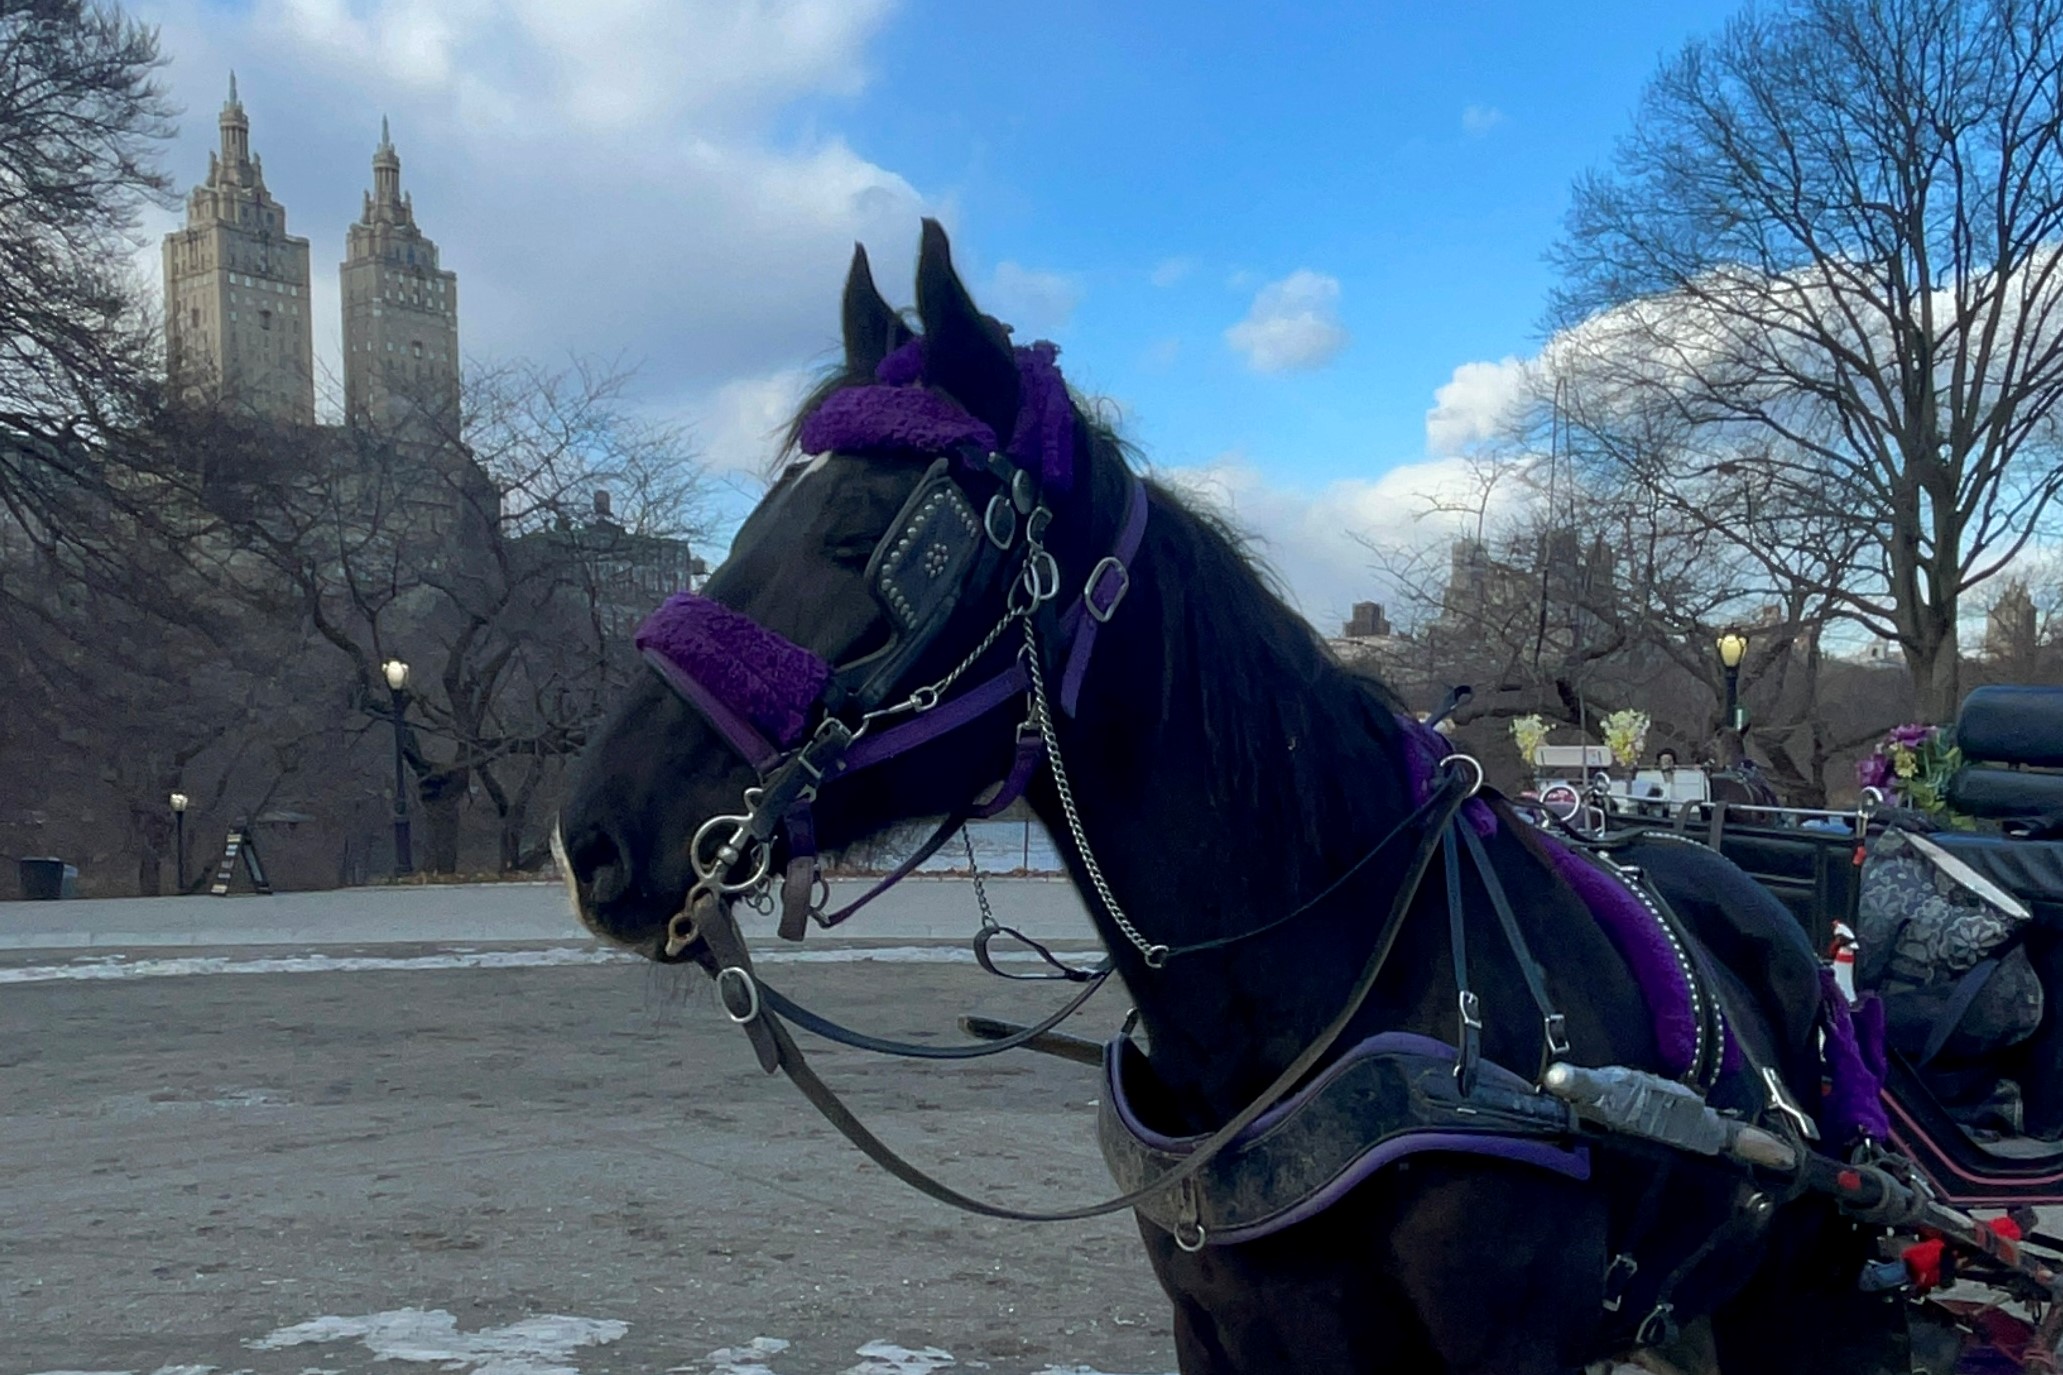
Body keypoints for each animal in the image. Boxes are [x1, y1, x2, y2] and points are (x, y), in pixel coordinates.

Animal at [557, 220, 1906, 1368]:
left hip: (1808, 1302)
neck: (1312, 979)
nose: (589, 838)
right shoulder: (1220, 1331)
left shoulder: (1502, 1352)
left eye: (867, 535)